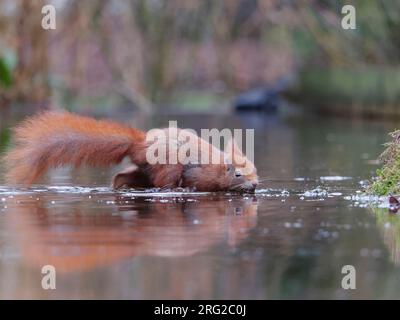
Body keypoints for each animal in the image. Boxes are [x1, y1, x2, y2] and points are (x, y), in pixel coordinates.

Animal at [3, 111, 258, 191]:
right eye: (237, 174)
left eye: (255, 169)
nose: (255, 184)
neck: (216, 166)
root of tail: (140, 143)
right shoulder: (199, 173)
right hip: (167, 166)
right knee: (162, 182)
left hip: (145, 167)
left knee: (126, 175)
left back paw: (118, 186)